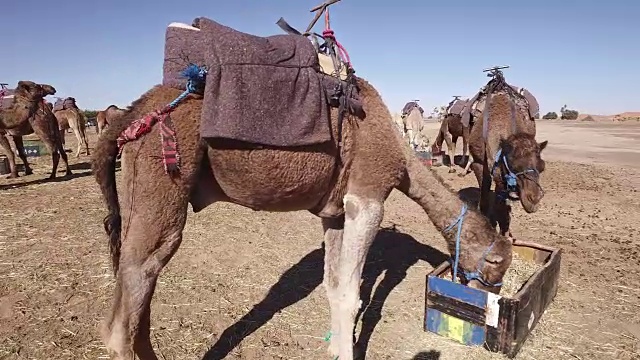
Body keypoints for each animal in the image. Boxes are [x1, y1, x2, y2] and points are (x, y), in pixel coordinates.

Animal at [92, 16, 516, 360]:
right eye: (498, 263)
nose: (494, 293)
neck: (400, 154)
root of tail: (131, 113)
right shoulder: (367, 196)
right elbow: (351, 295)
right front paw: (344, 351)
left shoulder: (335, 213)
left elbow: (333, 286)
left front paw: (333, 346)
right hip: (163, 173)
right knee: (130, 299)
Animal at [464, 69, 552, 240]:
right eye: (514, 165)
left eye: (542, 167)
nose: (534, 199)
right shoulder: (480, 163)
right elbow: (485, 199)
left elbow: (502, 206)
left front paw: (505, 233)